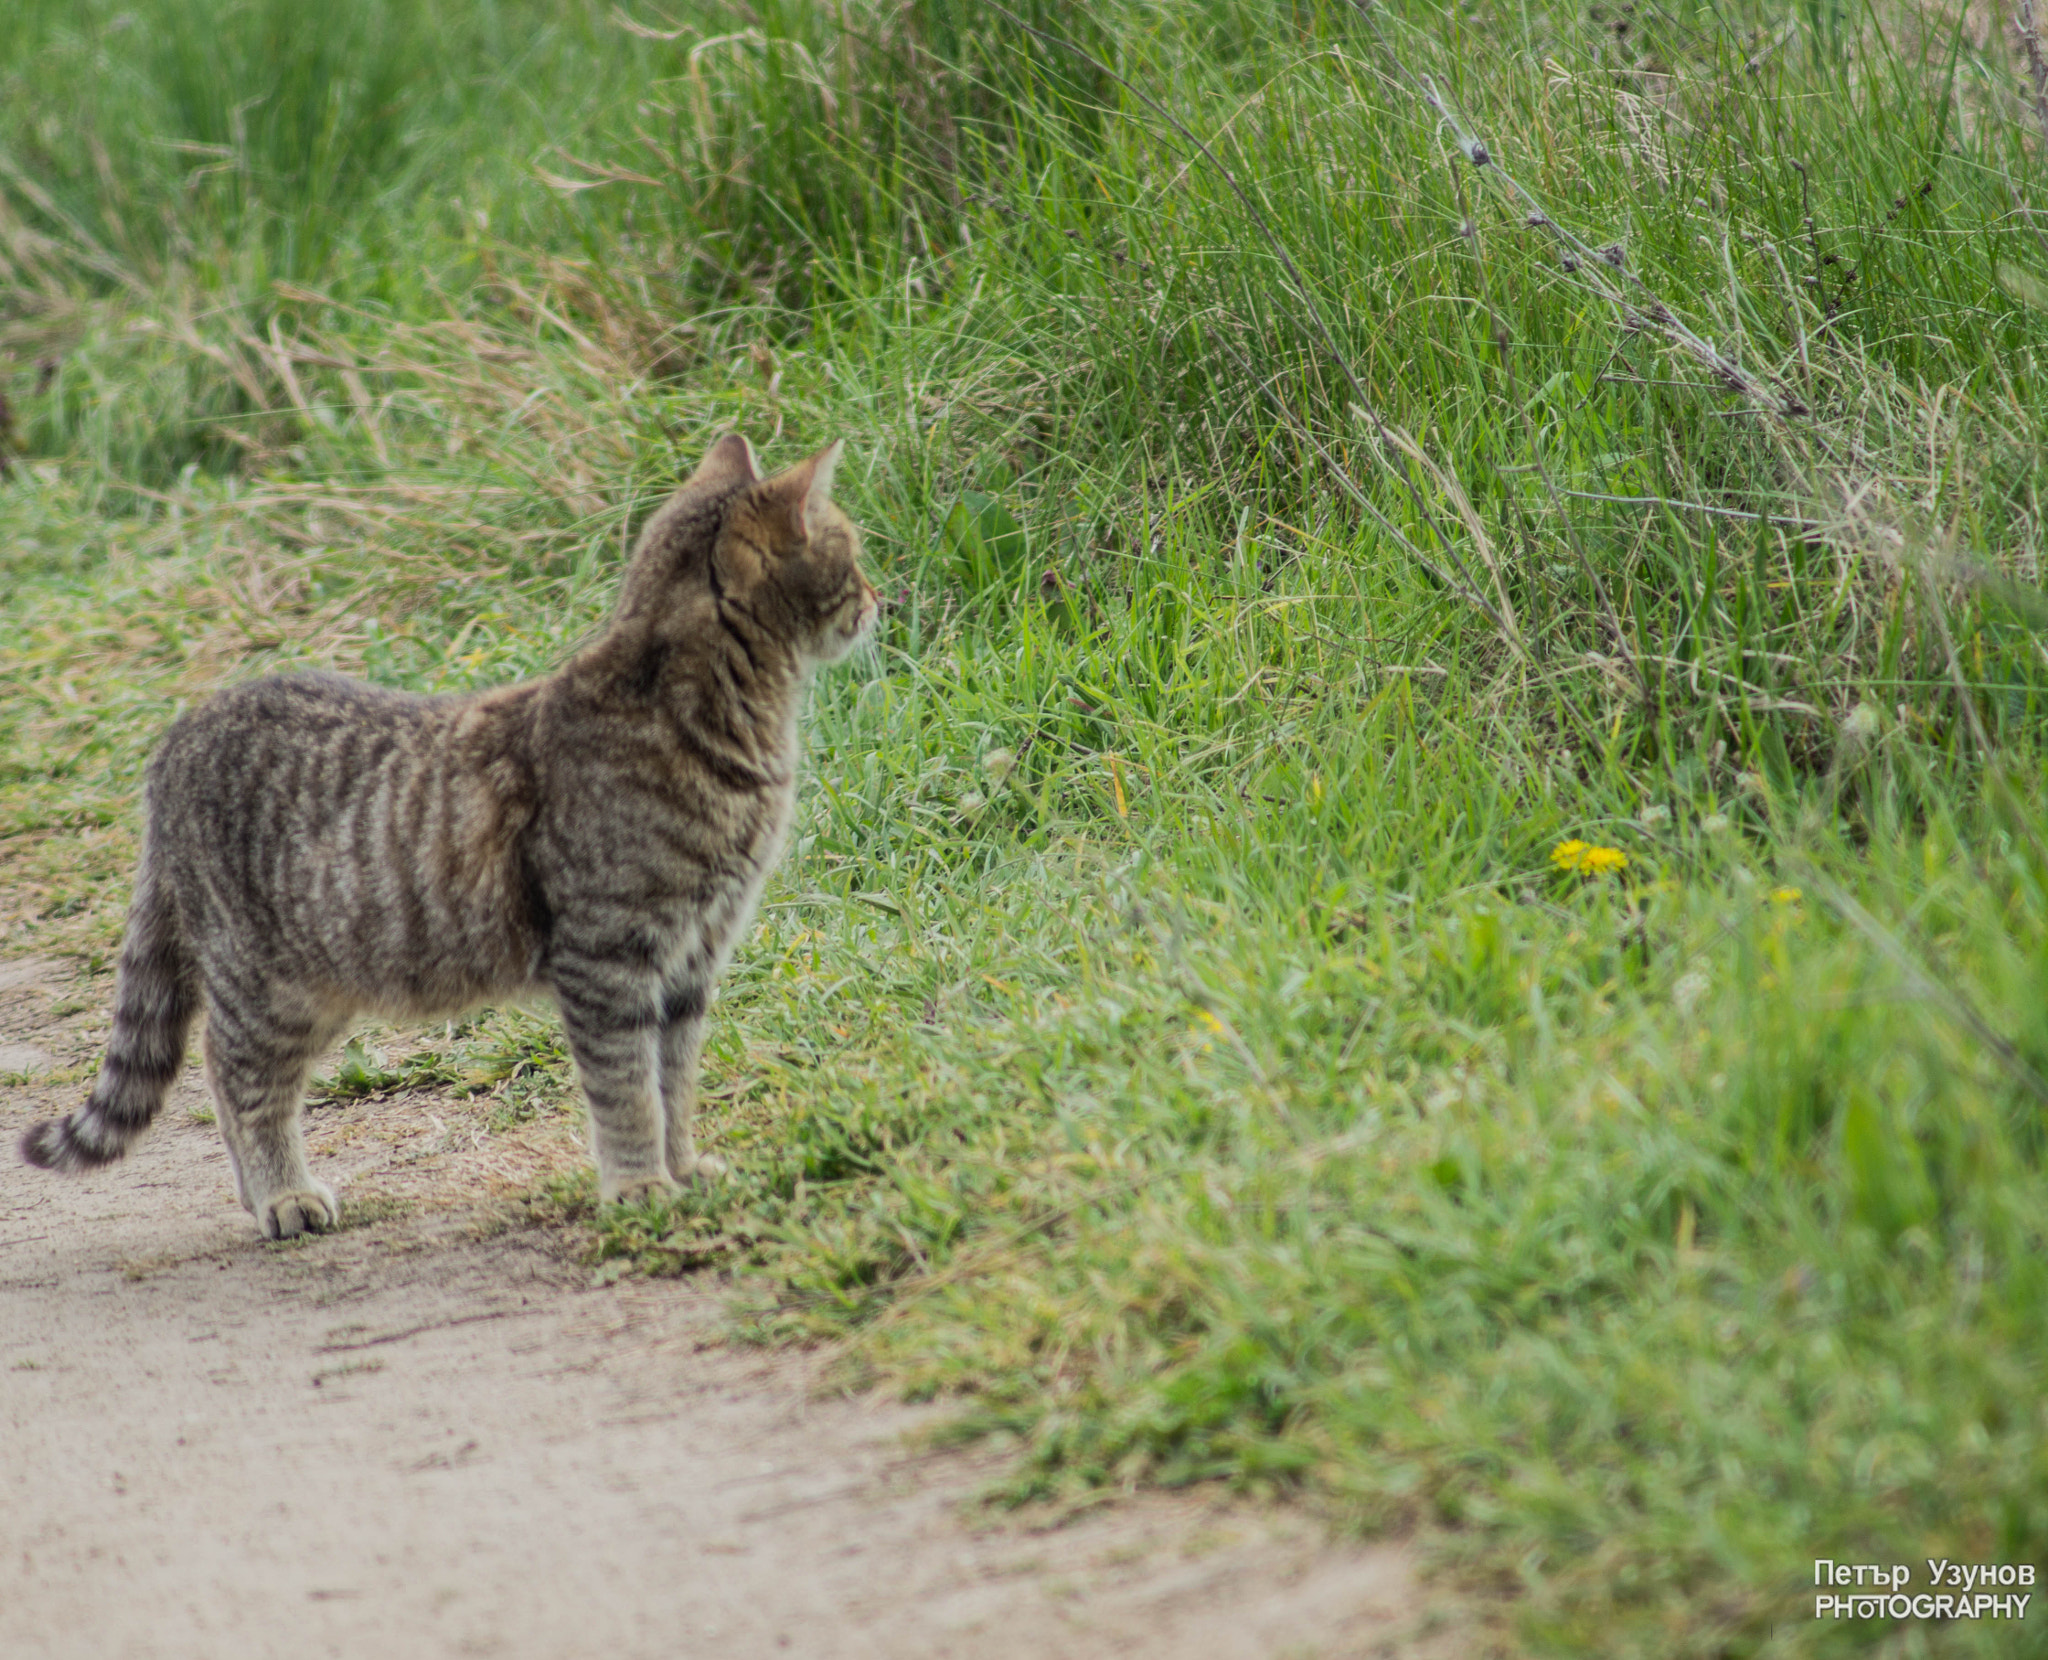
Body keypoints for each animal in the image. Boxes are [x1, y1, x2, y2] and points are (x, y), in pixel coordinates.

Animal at [19, 435, 876, 1236]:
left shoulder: (693, 961)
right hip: (270, 986)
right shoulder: (609, 959)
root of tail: (179, 734)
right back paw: (282, 1195)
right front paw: (639, 1187)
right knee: (235, 1077)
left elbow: (676, 1084)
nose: (880, 597)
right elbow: (629, 1092)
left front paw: (686, 1168)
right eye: (852, 550)